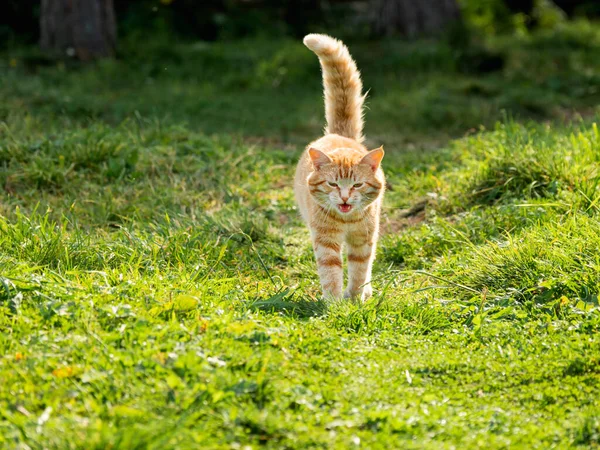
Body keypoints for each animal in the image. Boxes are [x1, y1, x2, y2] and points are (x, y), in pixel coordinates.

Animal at [294, 34, 386, 302]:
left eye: (357, 184)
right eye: (332, 183)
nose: (344, 198)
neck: (346, 220)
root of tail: (339, 134)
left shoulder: (363, 240)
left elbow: (359, 270)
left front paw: (355, 299)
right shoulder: (325, 241)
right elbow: (331, 271)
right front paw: (334, 304)